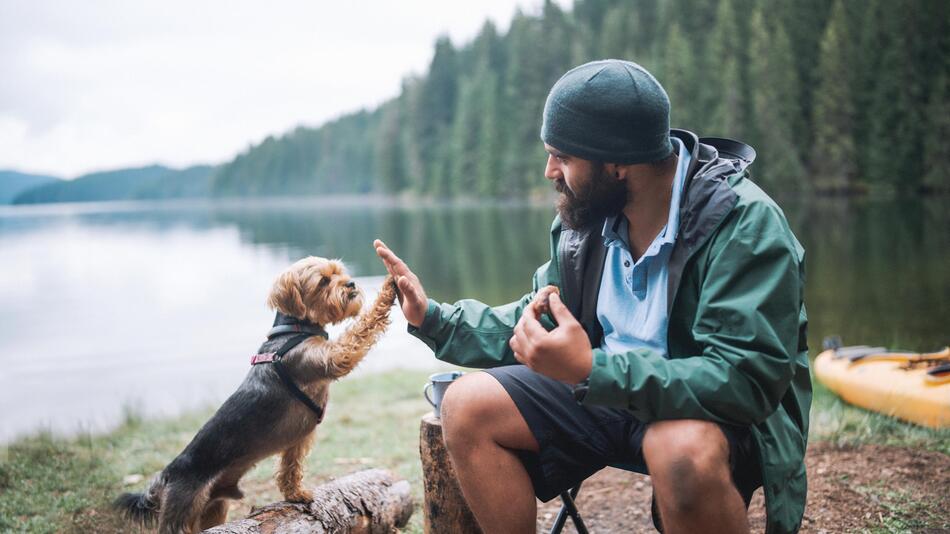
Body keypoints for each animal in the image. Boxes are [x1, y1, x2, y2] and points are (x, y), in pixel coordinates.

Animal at [116, 258, 398, 532]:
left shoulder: (296, 441)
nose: (351, 284)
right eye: (323, 281)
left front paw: (295, 493)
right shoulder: (333, 357)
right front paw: (389, 288)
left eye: (339, 272)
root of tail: (166, 475)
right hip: (181, 511)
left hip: (213, 509)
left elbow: (290, 468)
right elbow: (360, 329)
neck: (295, 330)